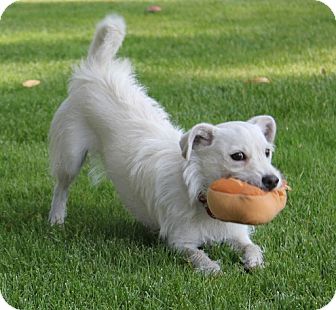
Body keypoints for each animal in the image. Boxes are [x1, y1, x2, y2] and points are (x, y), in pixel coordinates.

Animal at [48, 15, 284, 274]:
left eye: (267, 152)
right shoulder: (180, 242)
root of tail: (96, 68)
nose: (273, 180)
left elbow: (252, 247)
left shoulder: (237, 235)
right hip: (70, 157)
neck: (199, 191)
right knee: (61, 186)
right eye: (238, 156)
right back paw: (56, 218)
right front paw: (213, 268)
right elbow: (199, 257)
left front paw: (254, 262)